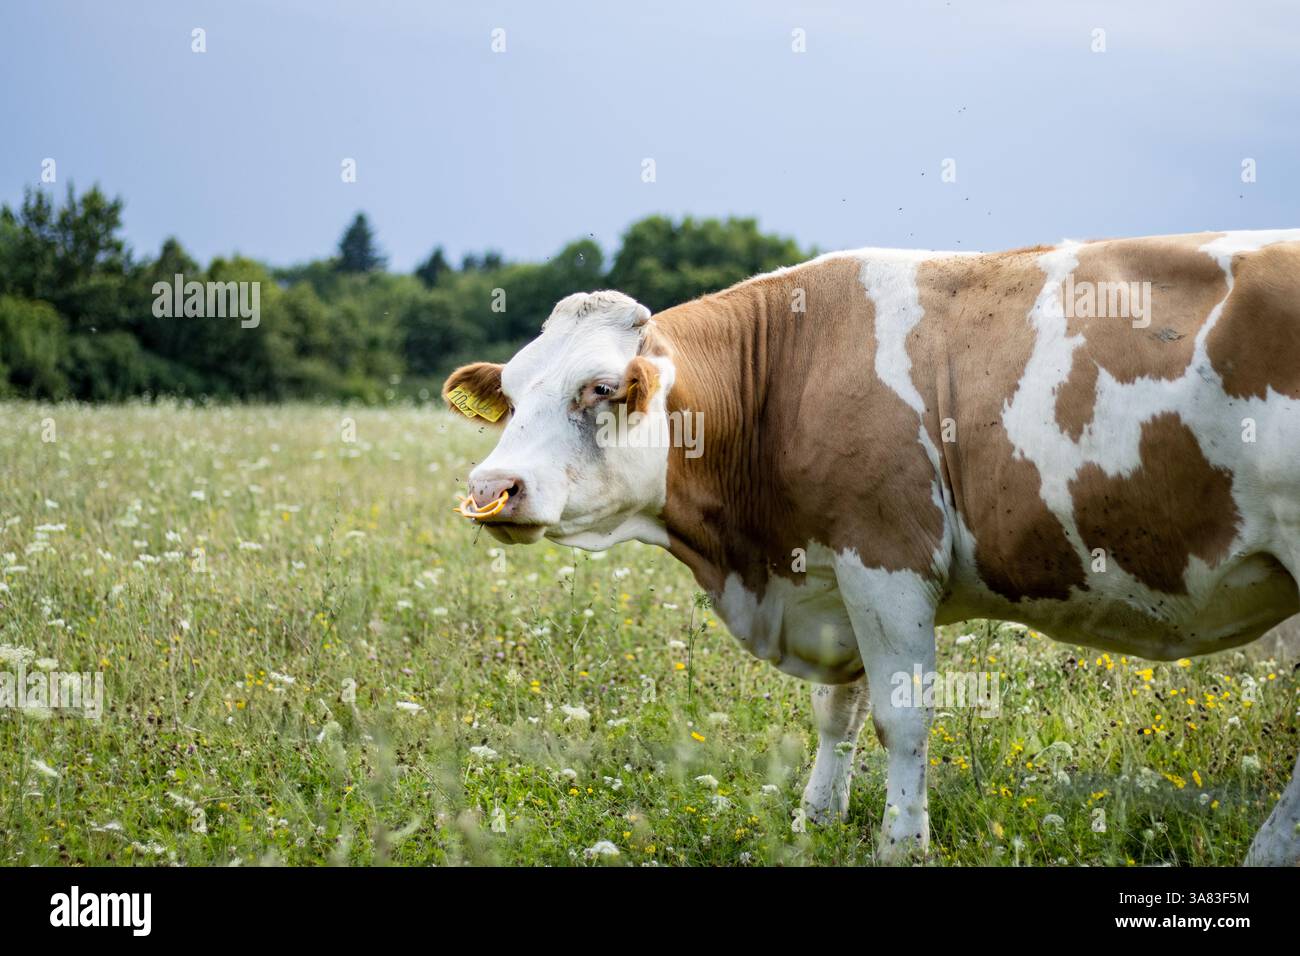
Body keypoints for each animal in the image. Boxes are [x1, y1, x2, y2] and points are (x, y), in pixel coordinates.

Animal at [442, 230, 1300, 865]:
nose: (492, 486)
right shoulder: (831, 578)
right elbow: (838, 714)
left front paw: (901, 844)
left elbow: (901, 717)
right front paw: (813, 823)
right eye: (510, 393)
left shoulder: (886, 560)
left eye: (598, 389)